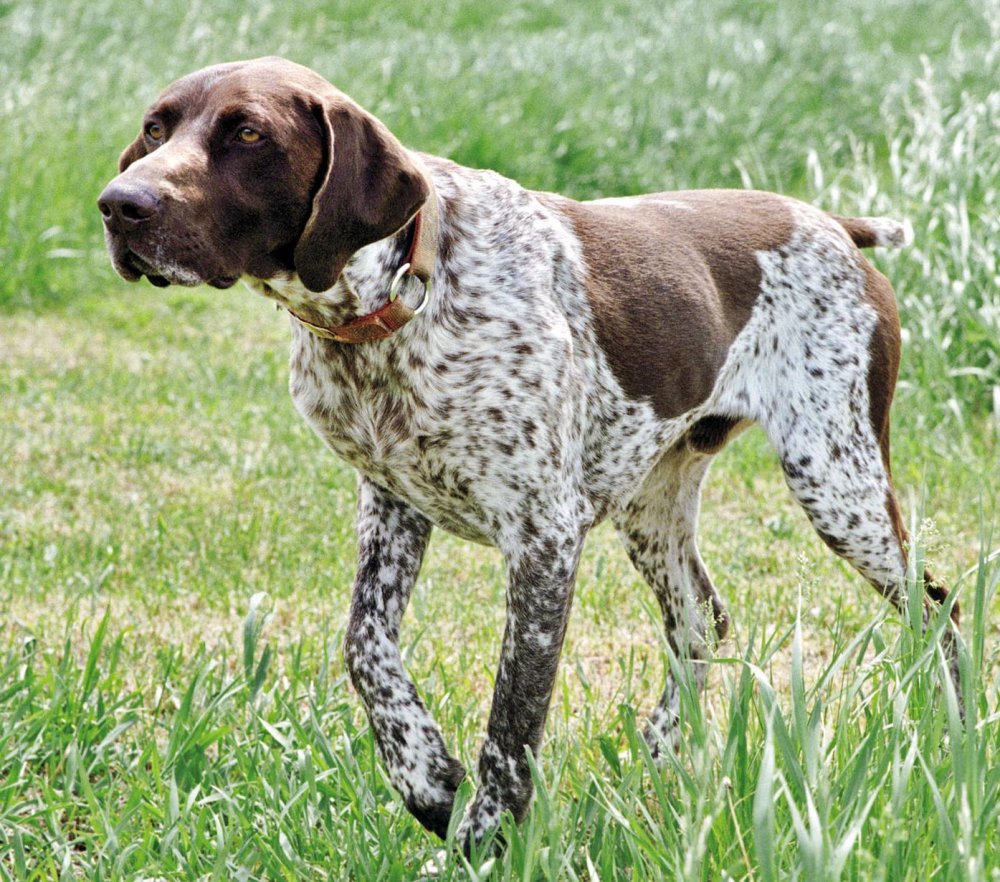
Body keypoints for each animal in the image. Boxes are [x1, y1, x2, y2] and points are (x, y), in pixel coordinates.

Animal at [99, 56, 960, 852]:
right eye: (156, 128)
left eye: (248, 133)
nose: (119, 205)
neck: (401, 297)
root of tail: (831, 222)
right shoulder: (393, 503)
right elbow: (365, 648)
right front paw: (426, 779)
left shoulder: (544, 536)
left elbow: (512, 718)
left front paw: (486, 837)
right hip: (654, 504)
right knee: (700, 621)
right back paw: (658, 761)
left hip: (837, 478)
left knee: (936, 608)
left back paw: (947, 741)